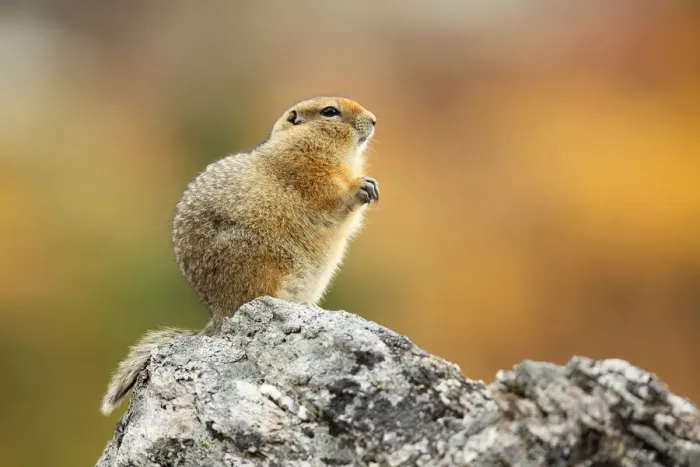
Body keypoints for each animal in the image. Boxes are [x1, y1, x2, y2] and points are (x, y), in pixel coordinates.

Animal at [101, 96, 379, 415]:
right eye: (330, 111)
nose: (374, 120)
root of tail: (219, 317)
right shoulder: (307, 172)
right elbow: (330, 197)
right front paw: (360, 186)